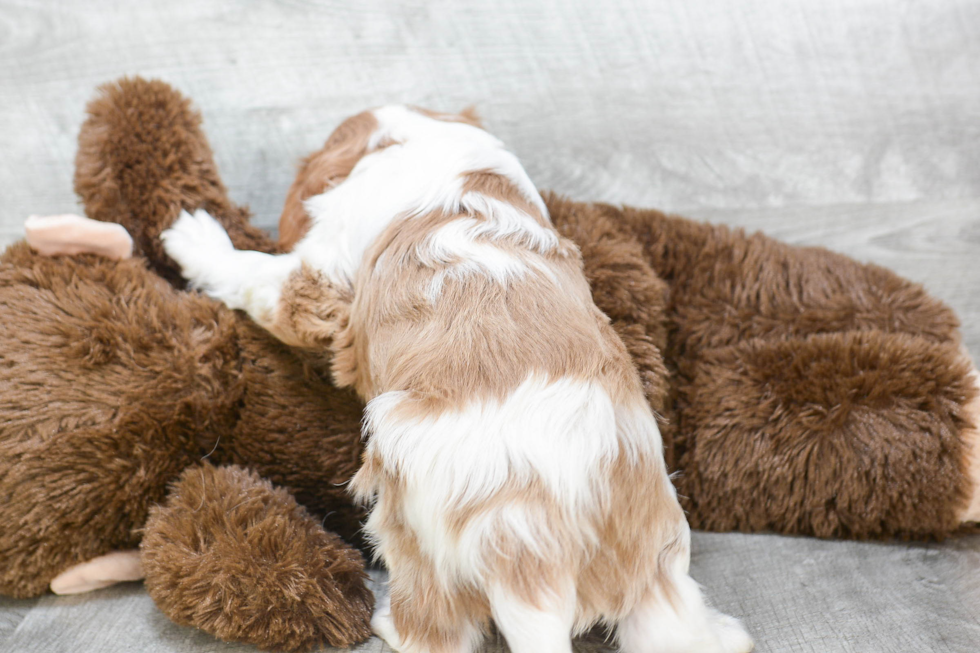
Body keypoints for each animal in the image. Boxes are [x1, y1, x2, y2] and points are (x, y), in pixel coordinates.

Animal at [161, 107, 752, 652]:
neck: (438, 152)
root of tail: (536, 565)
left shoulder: (318, 285)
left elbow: (253, 277)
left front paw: (194, 239)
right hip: (656, 572)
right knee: (672, 628)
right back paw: (722, 633)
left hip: (407, 518)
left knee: (437, 629)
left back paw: (388, 622)